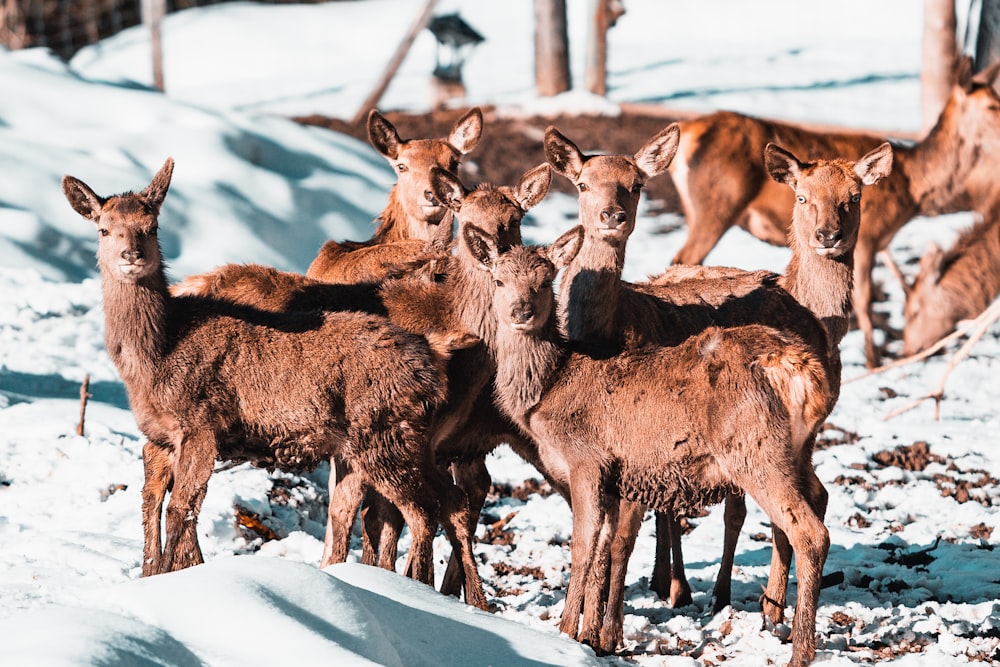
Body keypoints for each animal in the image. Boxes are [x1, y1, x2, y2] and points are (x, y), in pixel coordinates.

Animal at [60, 158, 490, 612]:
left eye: (153, 226)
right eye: (104, 229)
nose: (131, 255)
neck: (157, 355)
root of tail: (432, 355)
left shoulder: (201, 425)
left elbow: (181, 509)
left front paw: (166, 581)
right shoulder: (157, 435)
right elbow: (151, 503)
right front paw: (151, 574)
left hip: (384, 433)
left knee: (421, 510)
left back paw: (421, 591)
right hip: (405, 439)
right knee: (447, 501)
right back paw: (471, 600)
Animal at [472, 226, 832, 667]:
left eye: (545, 280)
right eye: (498, 280)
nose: (520, 312)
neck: (549, 389)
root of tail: (800, 369)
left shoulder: (586, 457)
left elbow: (582, 546)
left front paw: (565, 631)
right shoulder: (617, 475)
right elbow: (605, 548)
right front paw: (593, 636)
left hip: (754, 449)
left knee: (809, 532)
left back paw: (799, 649)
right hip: (797, 449)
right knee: (818, 496)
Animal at [668, 56, 1000, 370]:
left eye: (854, 197)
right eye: (993, 104)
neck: (912, 190)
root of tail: (689, 134)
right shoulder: (869, 238)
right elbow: (864, 301)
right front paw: (873, 361)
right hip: (715, 207)